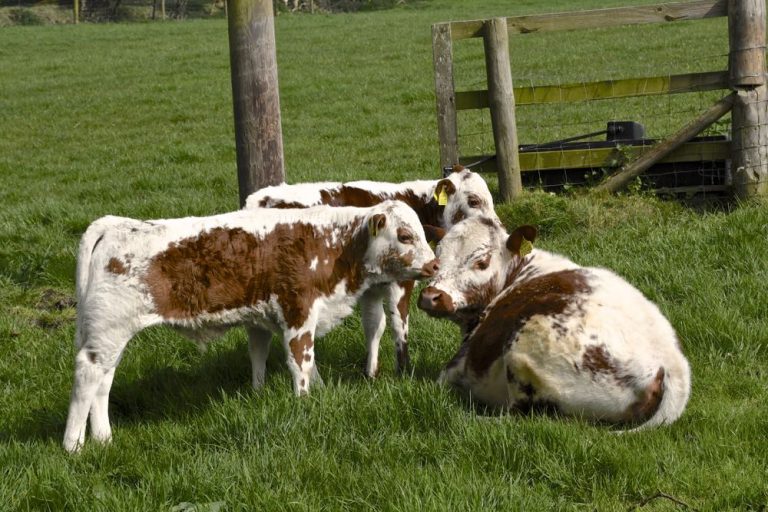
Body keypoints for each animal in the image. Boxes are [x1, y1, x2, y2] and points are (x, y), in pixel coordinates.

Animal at [64, 200, 437, 452]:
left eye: (421, 232)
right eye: (405, 235)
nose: (434, 265)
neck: (332, 245)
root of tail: (116, 223)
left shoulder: (267, 319)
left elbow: (275, 357)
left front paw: (302, 392)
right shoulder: (298, 313)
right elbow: (300, 360)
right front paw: (304, 403)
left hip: (107, 335)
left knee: (104, 381)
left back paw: (103, 438)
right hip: (109, 329)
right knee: (87, 376)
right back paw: (74, 446)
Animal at [244, 165, 497, 377]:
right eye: (473, 200)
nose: (495, 225)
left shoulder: (372, 287)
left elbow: (375, 324)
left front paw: (371, 372)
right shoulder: (401, 281)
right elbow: (398, 322)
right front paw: (403, 370)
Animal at [418, 216, 691, 430]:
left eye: (481, 262)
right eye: (437, 259)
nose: (431, 296)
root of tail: (673, 366)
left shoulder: (460, 362)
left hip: (526, 347)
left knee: (520, 416)